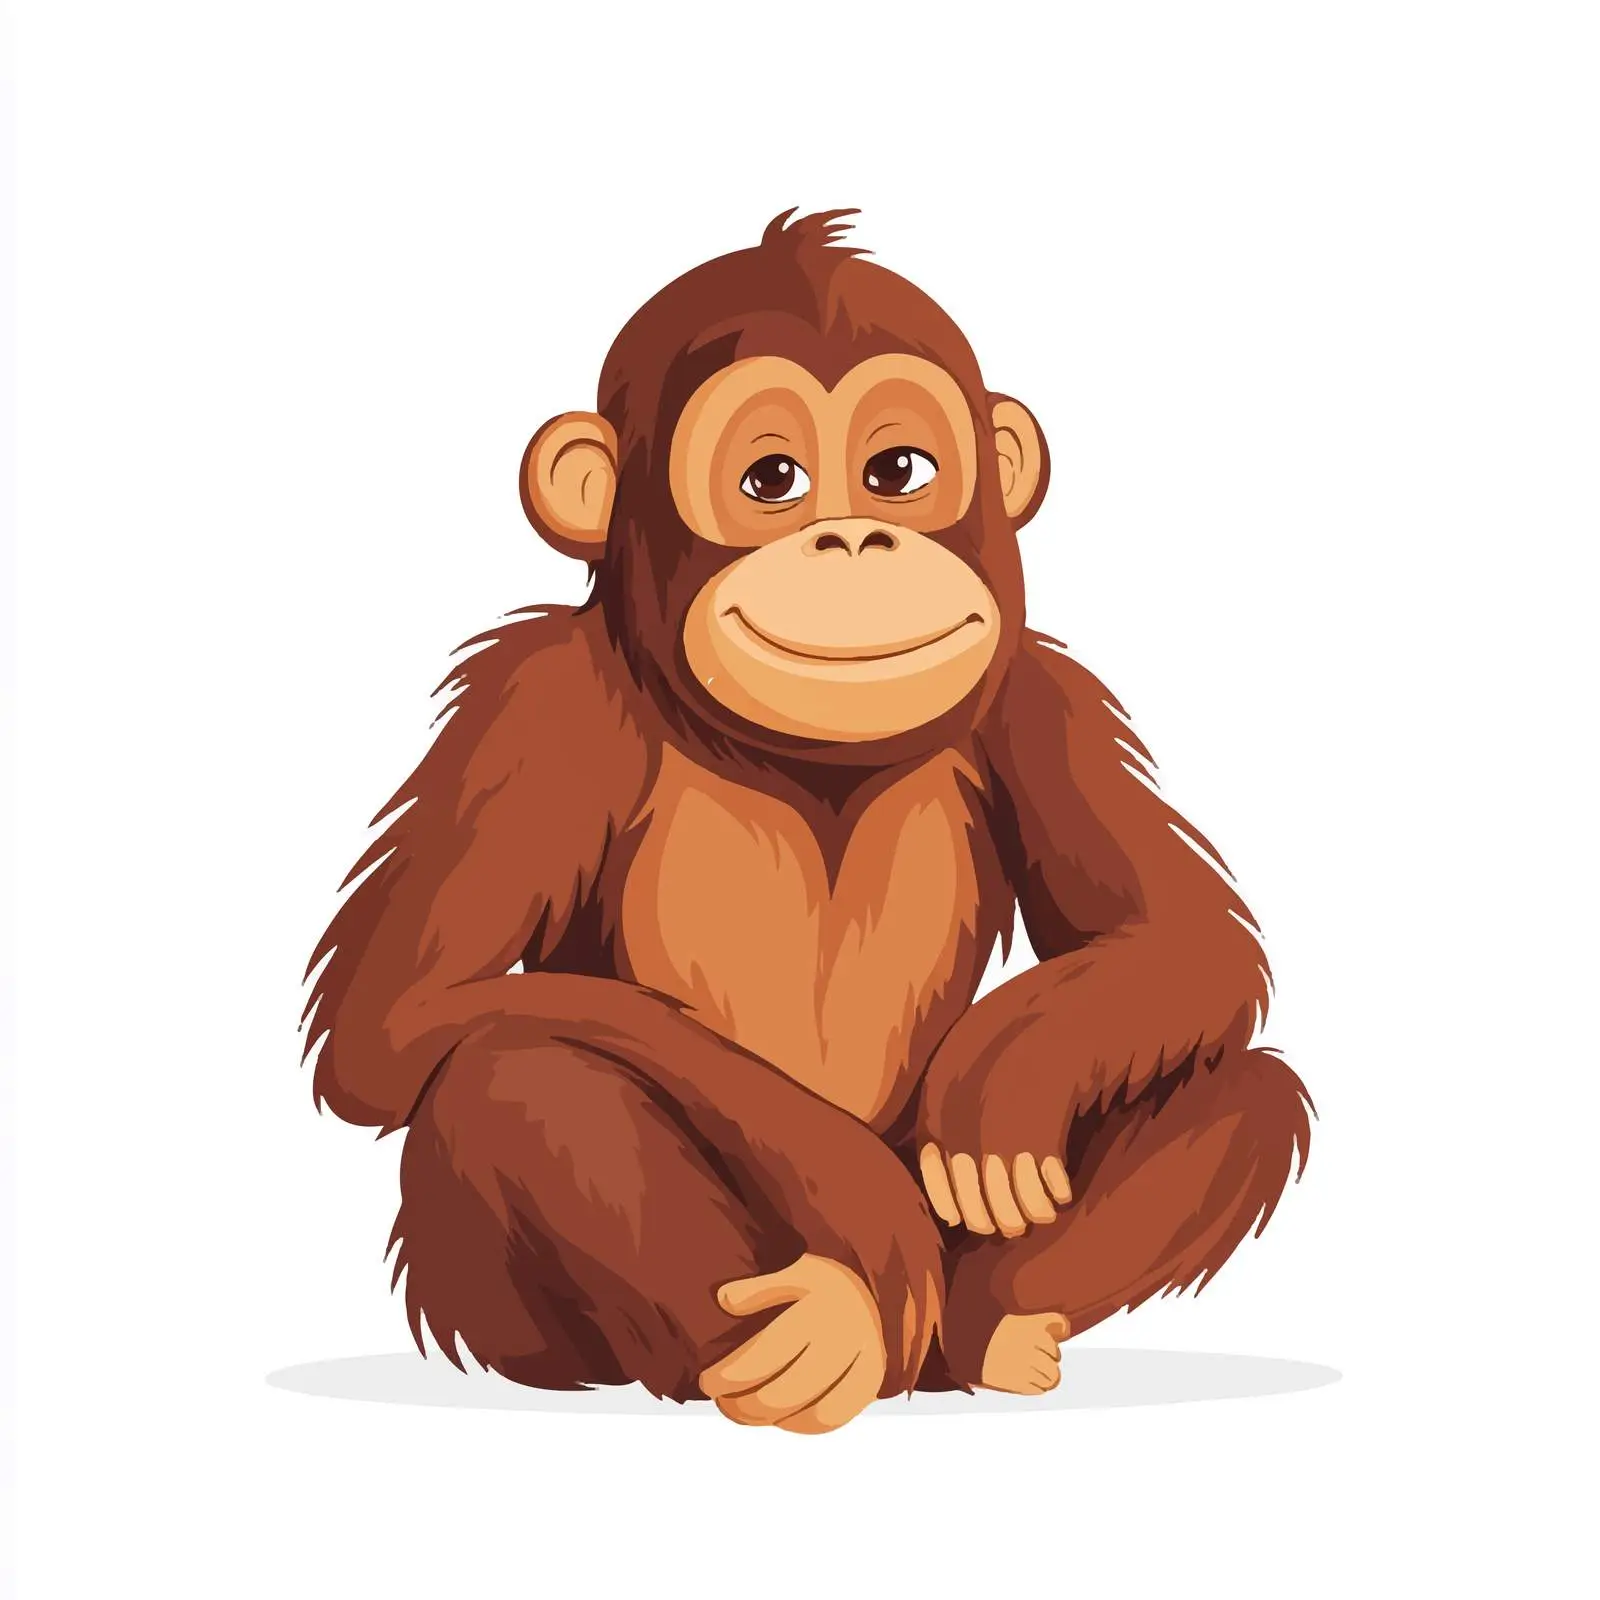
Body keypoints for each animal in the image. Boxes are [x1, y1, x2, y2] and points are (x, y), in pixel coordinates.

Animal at [302, 208, 1311, 1433]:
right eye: (771, 477)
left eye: (896, 472)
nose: (854, 540)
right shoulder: (534, 712)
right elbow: (399, 1023)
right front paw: (859, 1187)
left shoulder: (1044, 699)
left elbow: (1182, 941)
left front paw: (1001, 1080)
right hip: (507, 1326)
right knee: (515, 1074)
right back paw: (814, 1336)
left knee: (1247, 1087)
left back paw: (990, 1327)